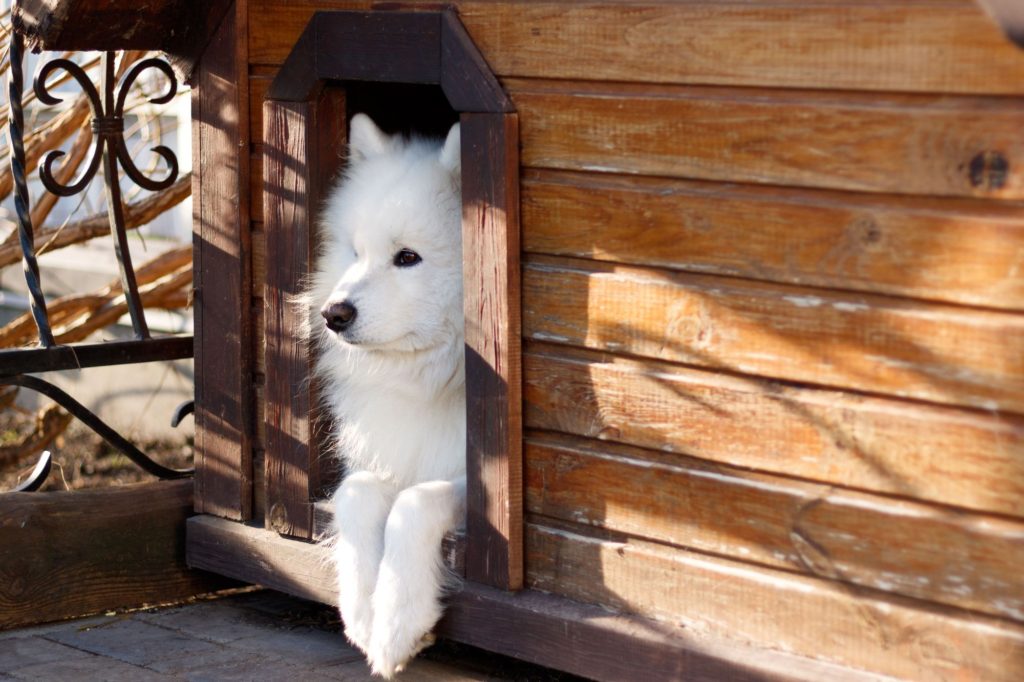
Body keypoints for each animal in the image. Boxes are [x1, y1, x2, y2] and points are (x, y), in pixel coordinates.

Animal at [303, 112, 464, 675]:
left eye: (407, 257)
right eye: (356, 252)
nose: (334, 314)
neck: (425, 380)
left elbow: (413, 504)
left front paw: (397, 623)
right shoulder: (379, 459)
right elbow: (355, 495)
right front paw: (360, 611)